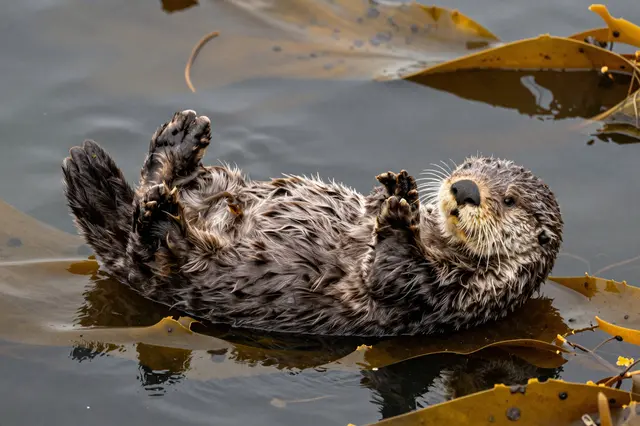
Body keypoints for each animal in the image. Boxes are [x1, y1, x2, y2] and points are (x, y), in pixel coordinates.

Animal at [62, 110, 563, 337]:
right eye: (469, 165)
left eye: (510, 199)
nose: (464, 188)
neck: (439, 241)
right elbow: (375, 207)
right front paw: (400, 190)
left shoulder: (445, 295)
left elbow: (393, 272)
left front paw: (399, 218)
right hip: (216, 185)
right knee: (167, 181)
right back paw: (178, 138)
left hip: (182, 266)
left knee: (151, 244)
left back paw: (150, 210)